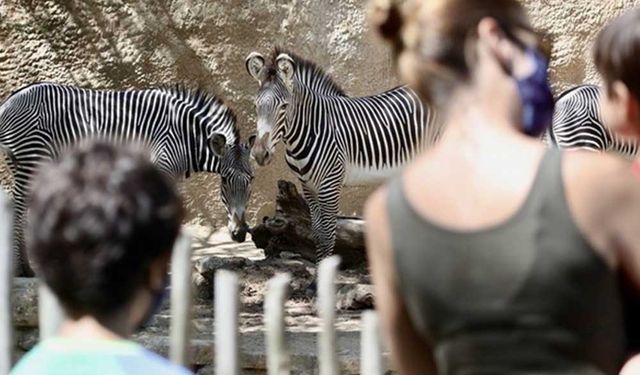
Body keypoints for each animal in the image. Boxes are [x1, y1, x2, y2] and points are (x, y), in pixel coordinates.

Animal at [0, 83, 255, 276]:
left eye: (251, 180)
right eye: (225, 180)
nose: (240, 234)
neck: (186, 137)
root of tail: (10, 100)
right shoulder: (162, 166)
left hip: (23, 163)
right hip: (31, 158)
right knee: (19, 206)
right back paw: (22, 269)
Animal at [244, 48, 440, 262]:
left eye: (284, 106)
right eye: (255, 106)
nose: (259, 153)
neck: (312, 128)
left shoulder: (330, 184)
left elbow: (328, 235)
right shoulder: (308, 187)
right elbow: (316, 233)